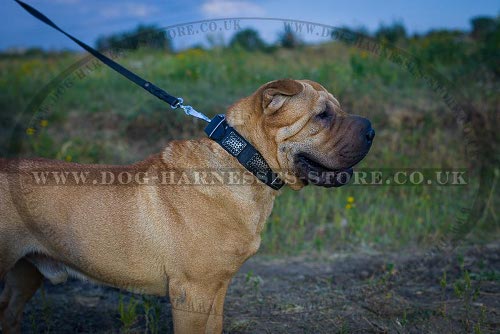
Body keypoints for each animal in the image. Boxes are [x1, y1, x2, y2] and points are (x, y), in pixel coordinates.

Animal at [0, 79, 374, 332]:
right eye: (322, 115)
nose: (371, 128)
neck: (243, 159)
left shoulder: (216, 289)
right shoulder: (191, 292)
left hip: (25, 275)